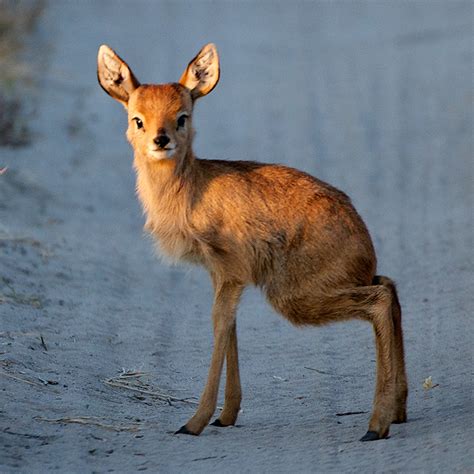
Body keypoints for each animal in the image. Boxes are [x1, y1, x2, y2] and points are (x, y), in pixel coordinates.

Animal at [96, 43, 408, 440]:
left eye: (182, 116)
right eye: (137, 118)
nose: (160, 140)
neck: (191, 191)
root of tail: (365, 247)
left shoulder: (231, 271)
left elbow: (219, 323)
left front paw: (194, 422)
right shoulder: (222, 274)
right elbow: (229, 326)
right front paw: (226, 414)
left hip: (295, 295)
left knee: (381, 299)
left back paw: (376, 424)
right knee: (390, 288)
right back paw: (398, 410)